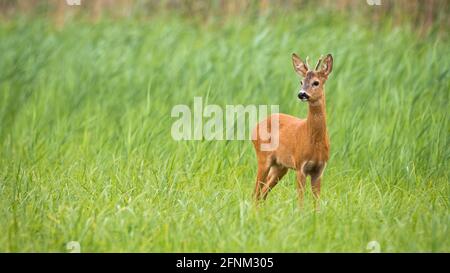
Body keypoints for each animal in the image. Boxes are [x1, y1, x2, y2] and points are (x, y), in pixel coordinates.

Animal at [251, 52, 332, 207]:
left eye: (316, 82)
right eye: (301, 82)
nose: (302, 94)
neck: (315, 141)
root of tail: (255, 127)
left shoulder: (319, 170)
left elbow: (316, 201)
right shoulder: (300, 166)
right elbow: (300, 199)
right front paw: (300, 212)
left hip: (280, 166)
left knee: (263, 193)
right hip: (263, 157)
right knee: (255, 193)